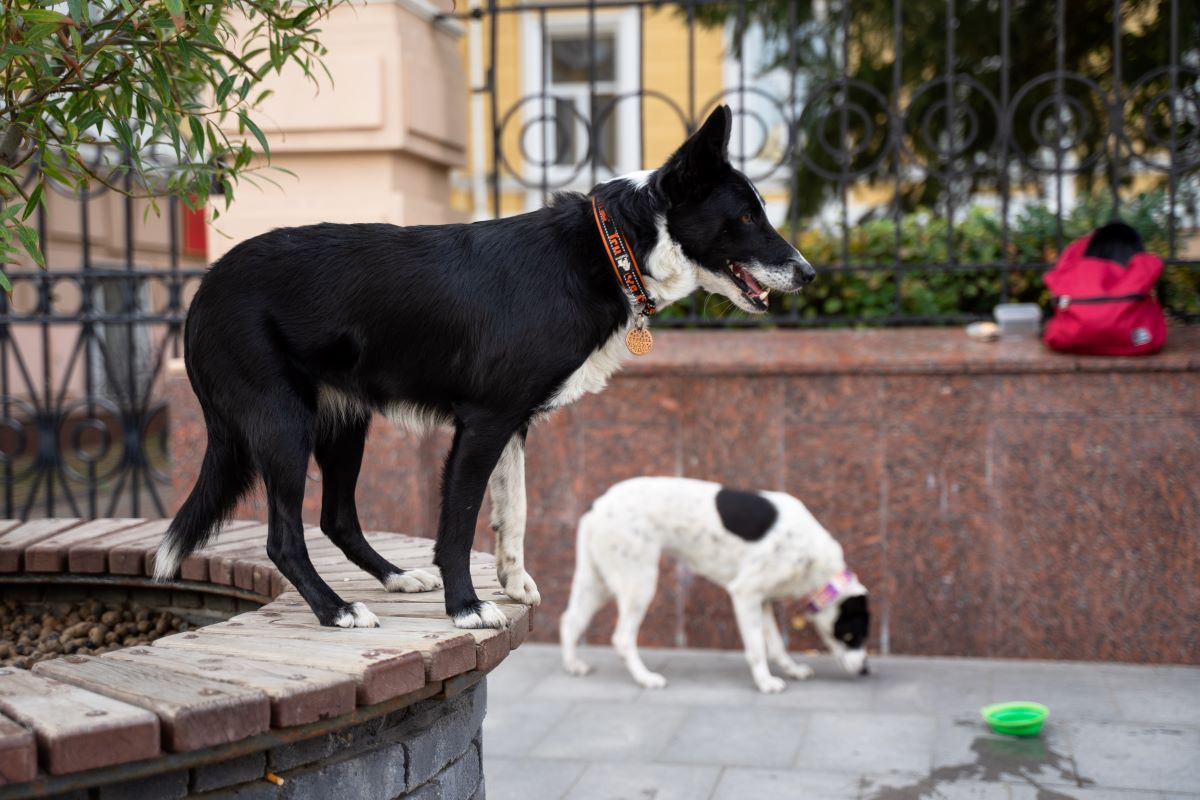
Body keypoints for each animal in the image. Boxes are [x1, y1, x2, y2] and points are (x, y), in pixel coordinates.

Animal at [159, 106, 811, 628]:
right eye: (747, 218)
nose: (807, 273)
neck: (613, 247)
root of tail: (204, 290)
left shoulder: (513, 424)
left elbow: (512, 510)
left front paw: (514, 583)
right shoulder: (483, 423)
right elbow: (458, 524)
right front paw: (467, 607)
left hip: (342, 423)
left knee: (337, 517)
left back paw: (395, 578)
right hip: (283, 425)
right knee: (284, 539)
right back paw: (336, 610)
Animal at [561, 479, 873, 690]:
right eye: (852, 634)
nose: (865, 670)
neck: (817, 564)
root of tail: (597, 505)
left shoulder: (763, 601)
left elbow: (775, 645)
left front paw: (792, 670)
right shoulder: (745, 593)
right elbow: (757, 647)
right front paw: (765, 682)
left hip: (597, 582)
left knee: (570, 621)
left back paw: (574, 666)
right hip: (638, 582)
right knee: (622, 638)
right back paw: (646, 678)